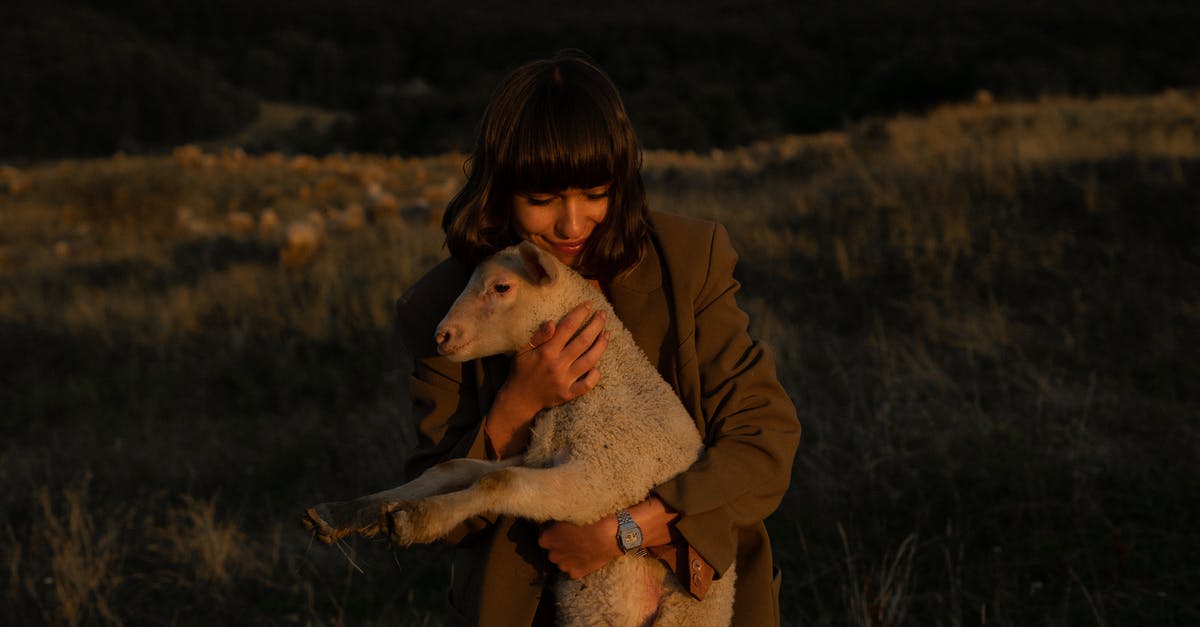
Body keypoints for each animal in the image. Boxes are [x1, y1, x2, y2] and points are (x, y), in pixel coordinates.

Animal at [304, 240, 734, 624]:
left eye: (501, 287)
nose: (441, 336)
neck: (601, 385)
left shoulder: (605, 480)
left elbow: (499, 482)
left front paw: (416, 518)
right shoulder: (537, 455)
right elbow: (451, 468)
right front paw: (349, 512)